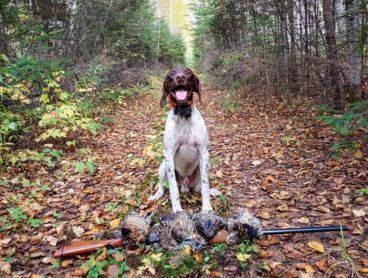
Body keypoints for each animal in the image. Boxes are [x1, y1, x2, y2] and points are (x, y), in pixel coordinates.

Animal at [149, 67, 220, 213]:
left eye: (188, 72)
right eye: (171, 73)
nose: (180, 77)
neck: (183, 114)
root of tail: (186, 185)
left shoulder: (203, 151)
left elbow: (205, 186)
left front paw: (207, 209)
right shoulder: (169, 154)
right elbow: (173, 189)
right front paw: (177, 210)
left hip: (207, 163)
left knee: (199, 188)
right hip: (163, 166)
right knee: (162, 186)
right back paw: (157, 195)